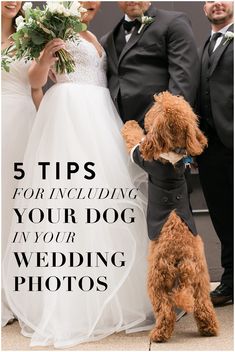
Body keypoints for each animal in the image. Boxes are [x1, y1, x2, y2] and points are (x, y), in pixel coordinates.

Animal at [121, 91, 218, 340]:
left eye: (155, 110)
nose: (158, 96)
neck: (173, 155)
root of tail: (182, 259)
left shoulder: (141, 156)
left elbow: (134, 140)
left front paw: (130, 124)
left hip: (156, 280)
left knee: (165, 310)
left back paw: (159, 335)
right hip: (200, 280)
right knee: (202, 305)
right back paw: (209, 329)